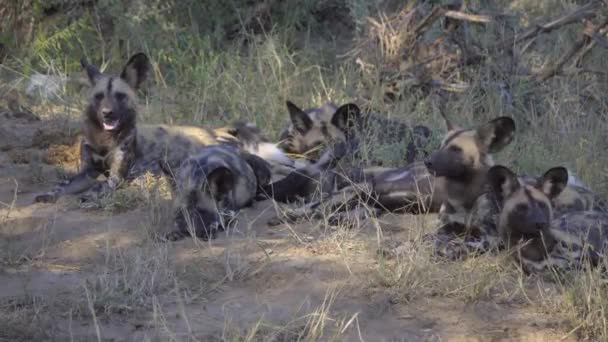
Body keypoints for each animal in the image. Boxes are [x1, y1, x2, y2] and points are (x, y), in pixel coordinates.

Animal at [33, 52, 296, 204]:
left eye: (120, 96)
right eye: (99, 97)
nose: (108, 114)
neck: (104, 140)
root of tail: (219, 131)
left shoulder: (117, 176)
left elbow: (101, 185)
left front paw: (90, 195)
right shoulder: (86, 172)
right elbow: (62, 185)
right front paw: (49, 195)